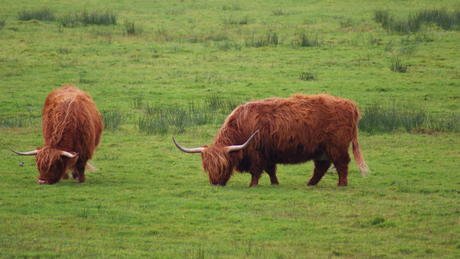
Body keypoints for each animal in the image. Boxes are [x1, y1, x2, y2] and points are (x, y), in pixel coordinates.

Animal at [172, 94, 370, 188]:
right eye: (207, 167)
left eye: (224, 166)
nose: (215, 183)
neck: (242, 127)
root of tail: (349, 104)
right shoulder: (268, 153)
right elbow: (270, 170)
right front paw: (275, 183)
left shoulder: (256, 153)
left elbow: (256, 171)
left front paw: (252, 186)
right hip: (323, 149)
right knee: (322, 166)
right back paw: (310, 184)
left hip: (337, 146)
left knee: (342, 164)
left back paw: (341, 184)